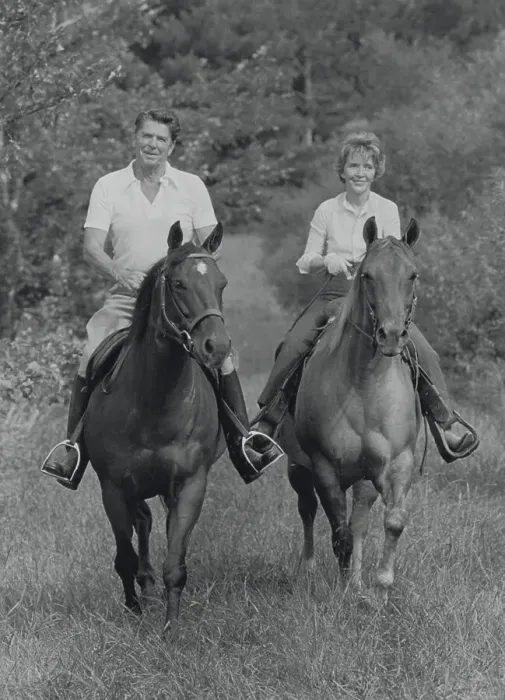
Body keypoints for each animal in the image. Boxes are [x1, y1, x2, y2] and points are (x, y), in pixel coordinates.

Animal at [84, 221, 229, 631]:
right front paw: (135, 612)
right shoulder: (114, 488)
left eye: (221, 283)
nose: (217, 347)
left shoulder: (190, 484)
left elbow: (175, 561)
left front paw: (171, 629)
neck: (155, 403)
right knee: (143, 526)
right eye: (178, 284)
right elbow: (125, 556)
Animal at [282, 216, 422, 600]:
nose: (391, 336)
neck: (365, 385)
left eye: (412, 274)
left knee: (358, 519)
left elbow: (391, 521)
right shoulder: (324, 466)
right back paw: (307, 569)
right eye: (368, 275)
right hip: (299, 467)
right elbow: (338, 532)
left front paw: (380, 580)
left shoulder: (397, 462)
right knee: (308, 510)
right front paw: (343, 586)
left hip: (364, 477)